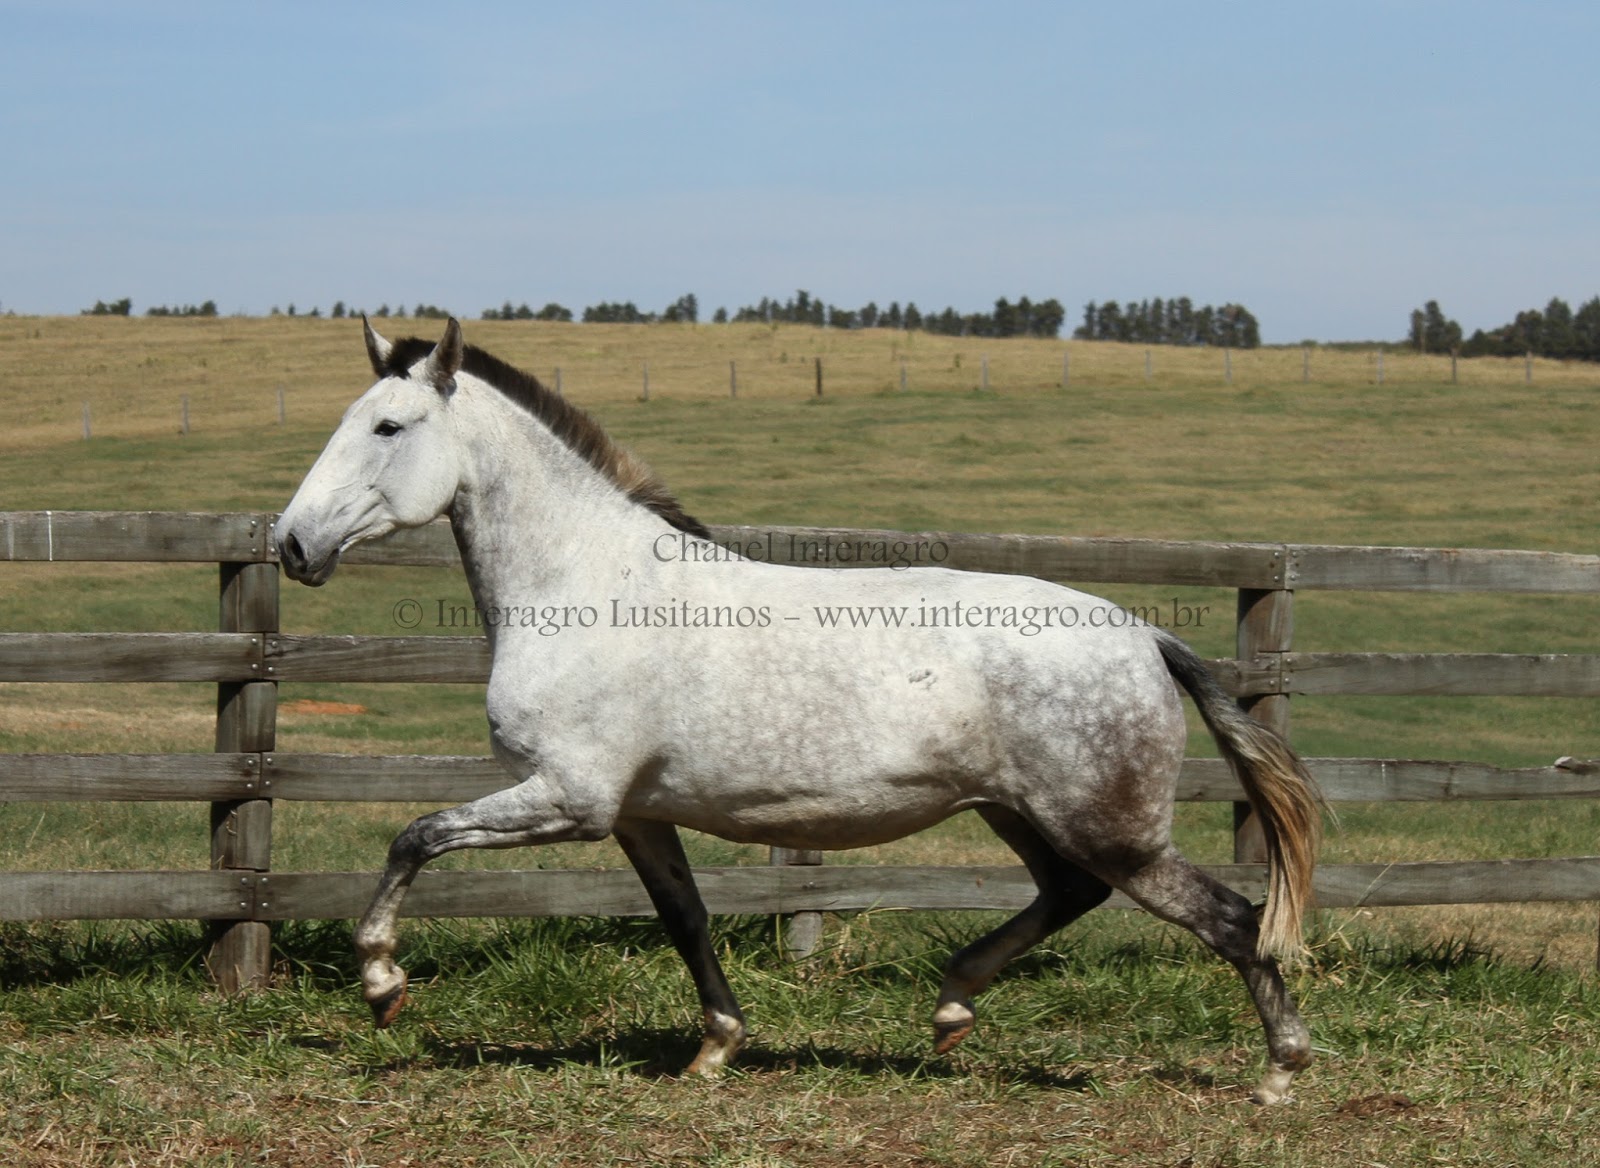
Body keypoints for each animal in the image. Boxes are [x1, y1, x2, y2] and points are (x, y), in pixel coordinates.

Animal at [274, 317, 1324, 1104]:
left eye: (388, 427)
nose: (290, 544)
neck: (587, 587)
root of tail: (1145, 636)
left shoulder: (569, 798)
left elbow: (413, 836)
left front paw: (382, 985)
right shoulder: (638, 816)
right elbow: (686, 918)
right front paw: (716, 1048)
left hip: (1109, 829)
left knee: (1231, 918)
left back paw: (1279, 1075)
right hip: (1018, 812)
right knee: (1070, 895)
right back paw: (951, 1009)